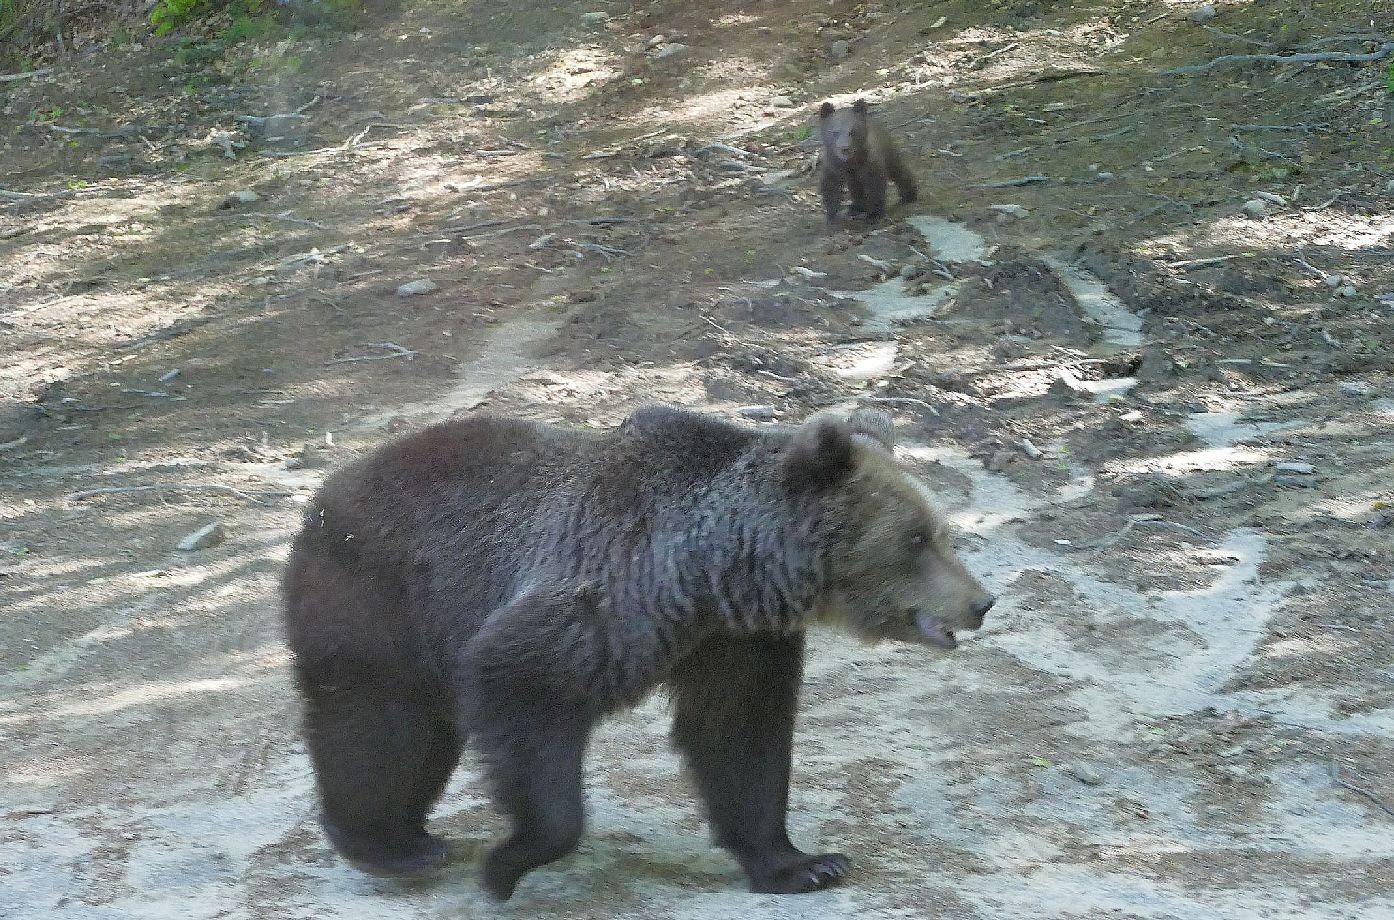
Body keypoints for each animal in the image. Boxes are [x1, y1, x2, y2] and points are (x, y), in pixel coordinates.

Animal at [281, 404, 994, 901]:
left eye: (941, 531)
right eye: (916, 538)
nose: (981, 601)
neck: (710, 575)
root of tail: (323, 495)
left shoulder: (738, 640)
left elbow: (740, 736)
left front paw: (806, 863)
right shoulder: (602, 592)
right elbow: (524, 681)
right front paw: (509, 864)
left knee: (420, 732)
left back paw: (408, 836)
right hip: (381, 598)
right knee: (378, 725)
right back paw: (385, 844)